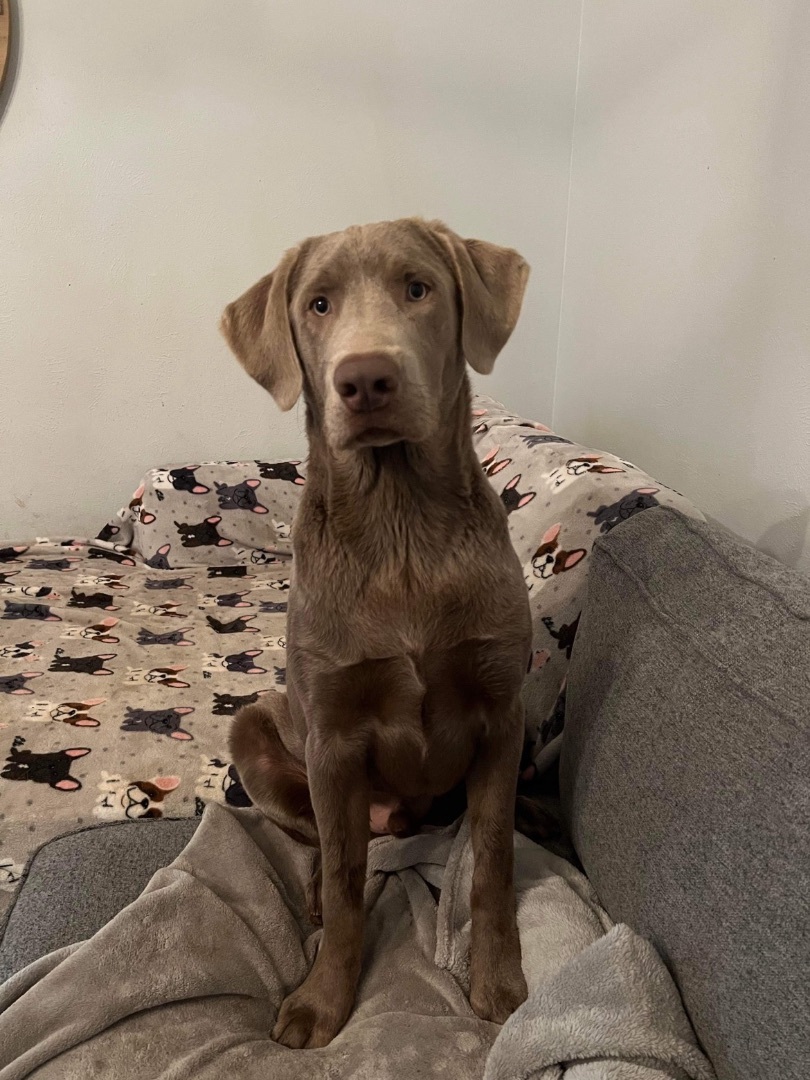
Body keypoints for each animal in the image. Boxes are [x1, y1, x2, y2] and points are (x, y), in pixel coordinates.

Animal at [222, 217, 533, 1045]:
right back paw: (315, 898)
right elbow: (344, 874)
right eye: (318, 304)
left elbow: (493, 860)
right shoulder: (332, 737)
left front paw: (498, 980)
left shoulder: (502, 714)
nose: (364, 381)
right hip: (254, 730)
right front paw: (322, 1001)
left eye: (417, 288)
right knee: (325, 847)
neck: (401, 529)